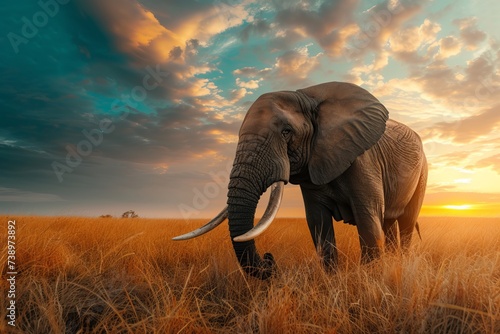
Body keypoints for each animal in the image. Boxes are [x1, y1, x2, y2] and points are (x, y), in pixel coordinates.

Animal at [174, 82, 428, 280]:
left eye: (286, 132)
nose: (269, 258)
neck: (307, 96)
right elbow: (318, 225)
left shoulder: (363, 161)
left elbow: (368, 224)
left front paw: (370, 282)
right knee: (389, 223)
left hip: (423, 172)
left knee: (405, 223)